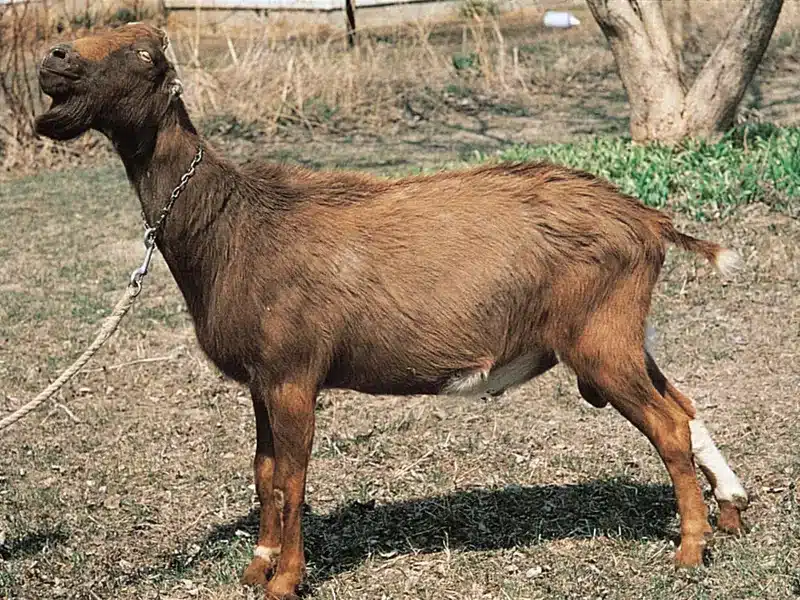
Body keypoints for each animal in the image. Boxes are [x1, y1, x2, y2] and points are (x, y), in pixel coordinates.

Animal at [35, 23, 749, 600]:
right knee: (683, 404)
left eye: (143, 53)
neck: (233, 224)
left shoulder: (294, 375)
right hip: (623, 336)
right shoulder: (262, 380)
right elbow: (264, 473)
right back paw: (732, 511)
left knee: (668, 425)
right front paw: (256, 565)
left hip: (600, 341)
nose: (54, 57)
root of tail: (648, 220)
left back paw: (691, 550)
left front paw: (286, 580)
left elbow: (292, 477)